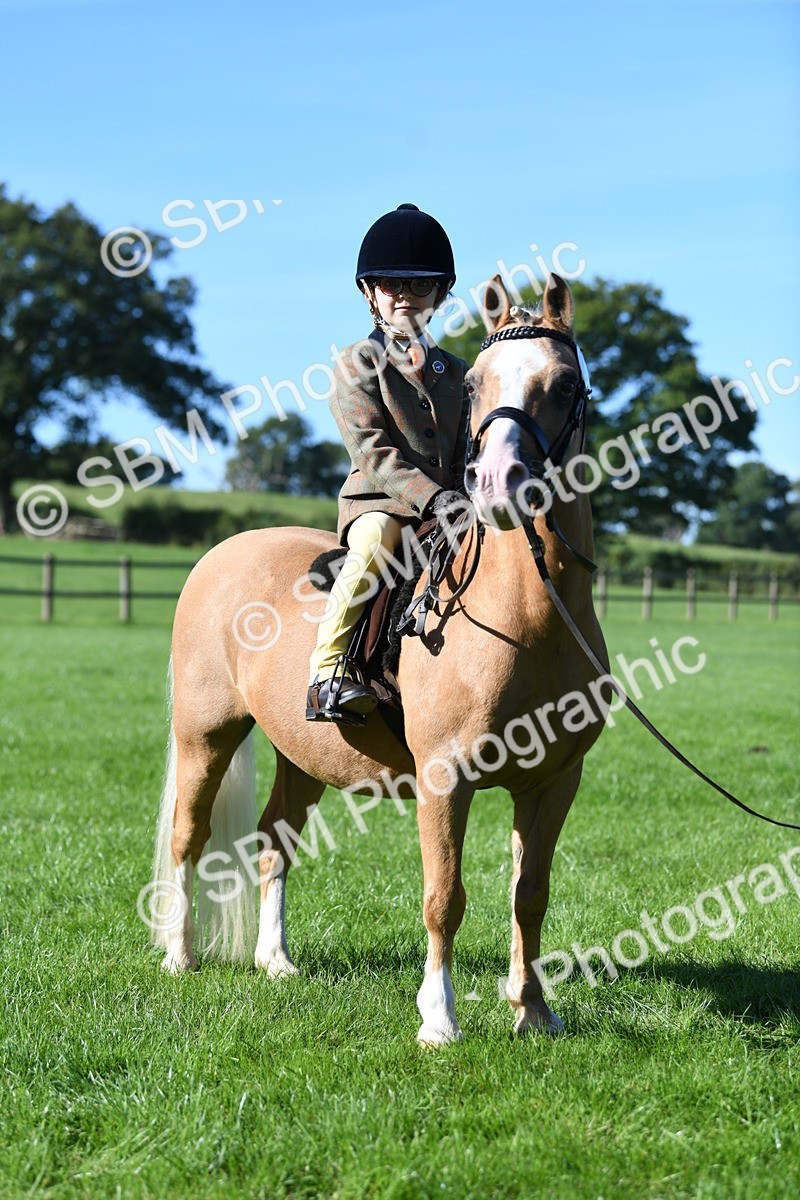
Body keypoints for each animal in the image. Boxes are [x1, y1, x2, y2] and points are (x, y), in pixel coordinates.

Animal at [150, 273, 609, 1043]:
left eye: (565, 382)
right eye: (478, 383)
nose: (497, 482)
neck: (527, 615)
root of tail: (225, 552)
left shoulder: (554, 782)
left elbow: (531, 894)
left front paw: (534, 1011)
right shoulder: (445, 780)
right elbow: (444, 896)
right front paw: (439, 1021)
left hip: (301, 751)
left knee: (275, 838)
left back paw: (275, 961)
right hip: (205, 733)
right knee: (190, 833)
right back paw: (180, 956)